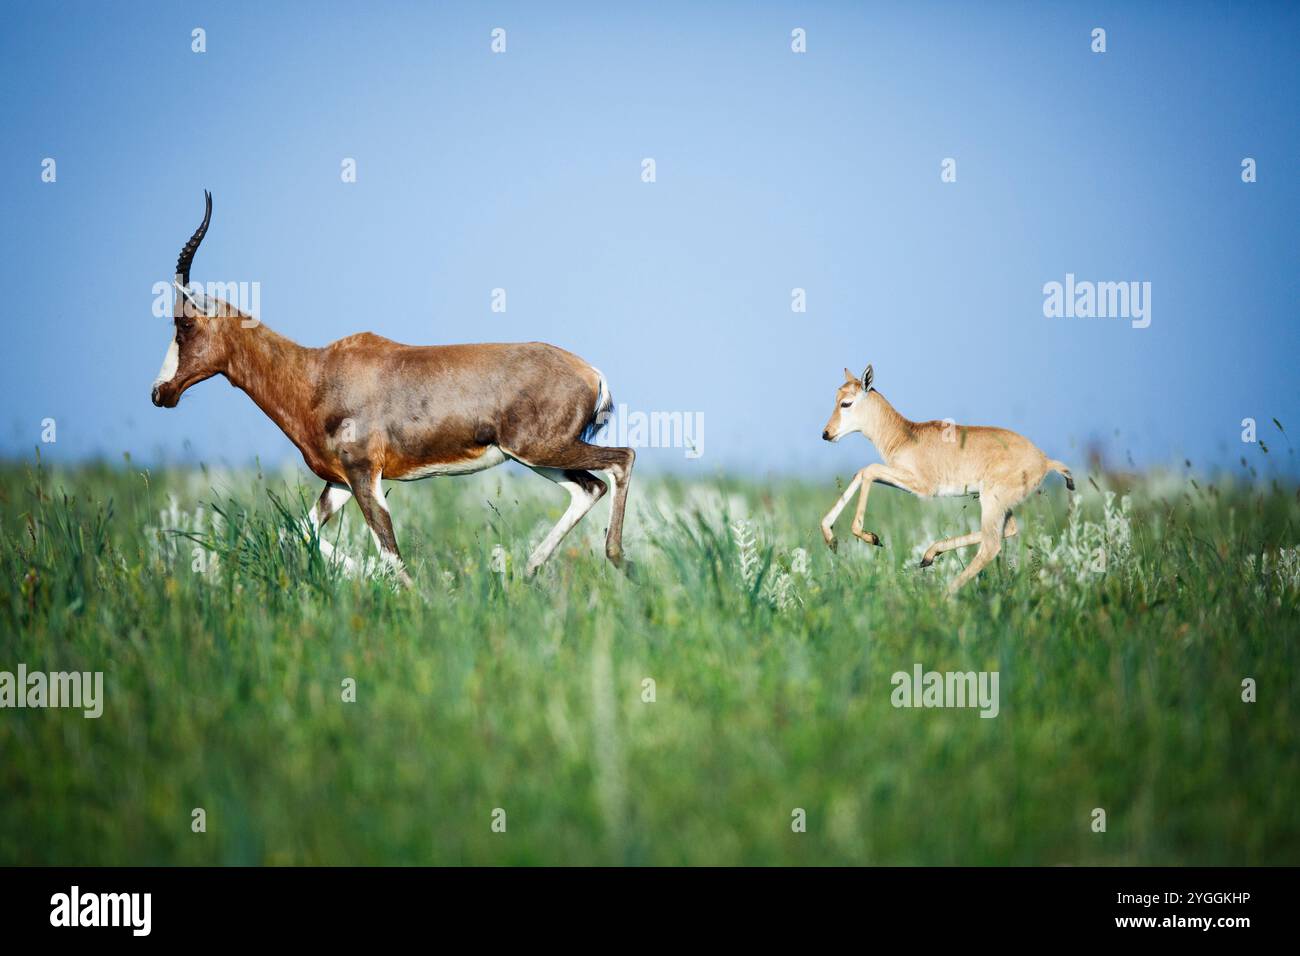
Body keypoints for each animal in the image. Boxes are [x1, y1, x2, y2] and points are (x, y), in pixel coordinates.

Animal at [152, 193, 634, 582]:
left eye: (184, 324)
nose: (160, 392)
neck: (317, 372)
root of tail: (591, 372)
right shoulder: (340, 482)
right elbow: (299, 533)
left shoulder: (366, 475)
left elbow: (391, 556)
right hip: (537, 457)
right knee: (588, 488)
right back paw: (530, 571)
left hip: (541, 449)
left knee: (621, 460)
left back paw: (617, 559)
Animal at [816, 364, 1071, 595]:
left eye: (846, 403)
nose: (826, 433)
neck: (906, 435)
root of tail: (1045, 460)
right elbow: (861, 472)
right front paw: (831, 538)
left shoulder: (921, 487)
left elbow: (869, 470)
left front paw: (871, 537)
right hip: (1000, 505)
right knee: (1008, 530)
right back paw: (929, 556)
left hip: (991, 502)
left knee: (991, 544)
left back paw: (945, 595)